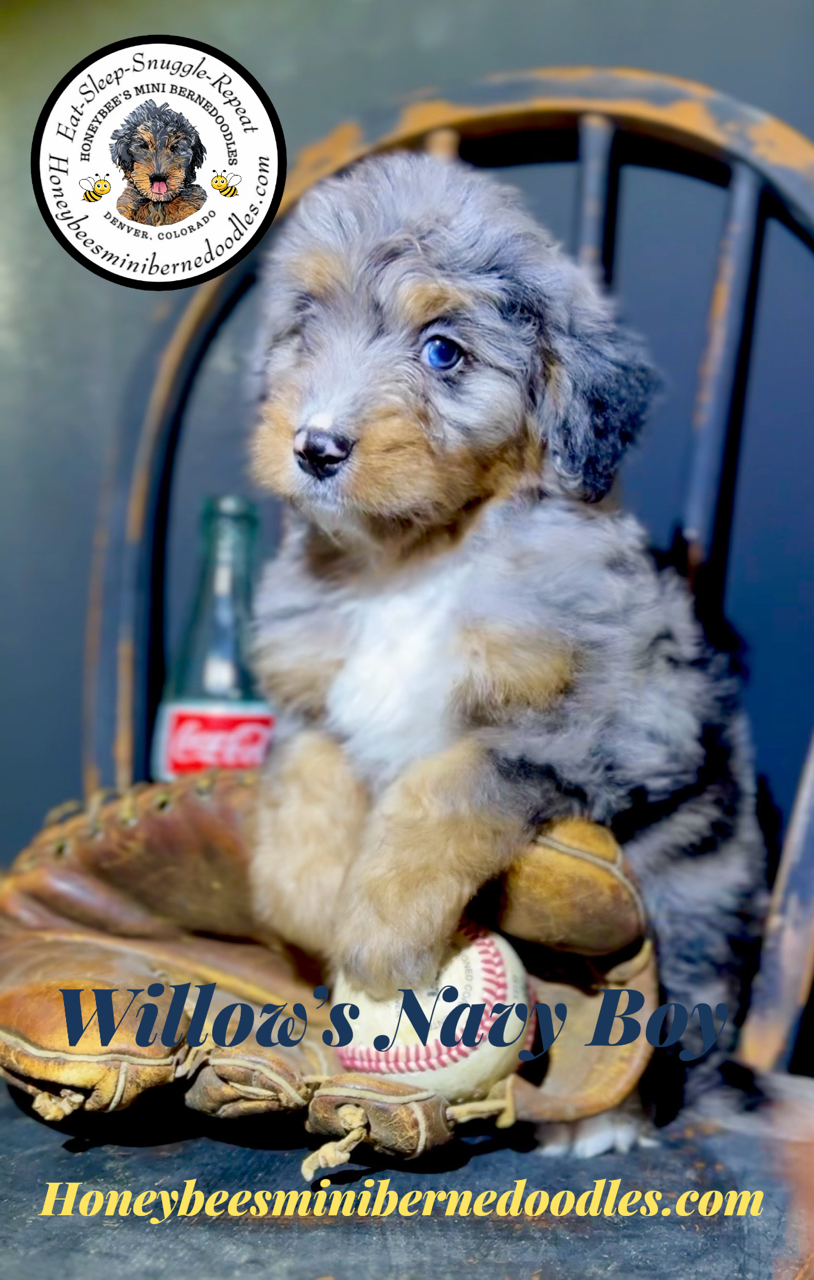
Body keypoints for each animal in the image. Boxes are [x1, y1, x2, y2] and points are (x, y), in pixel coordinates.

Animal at [249, 152, 767, 1153]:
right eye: (306, 328)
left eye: (443, 351)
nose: (315, 446)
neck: (414, 563)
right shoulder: (309, 686)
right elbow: (308, 781)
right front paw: (310, 899)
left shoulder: (614, 721)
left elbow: (453, 777)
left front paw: (384, 922)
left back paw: (602, 1121)